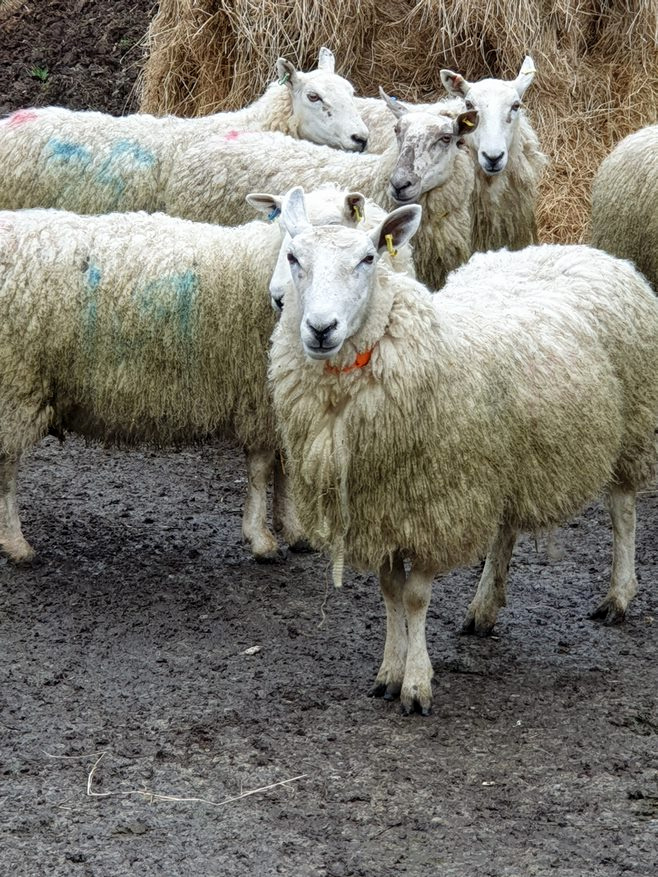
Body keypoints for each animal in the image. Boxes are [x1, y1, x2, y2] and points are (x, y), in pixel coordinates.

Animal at [0, 186, 370, 565]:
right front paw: (261, 538)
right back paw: (15, 543)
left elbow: (286, 468)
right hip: (15, 384)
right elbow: (261, 468)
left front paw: (294, 530)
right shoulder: (258, 399)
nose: (279, 296)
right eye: (282, 228)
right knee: (7, 467)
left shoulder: (285, 401)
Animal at [269, 187, 658, 715]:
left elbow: (414, 598)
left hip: (631, 425)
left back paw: (618, 596)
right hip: (507, 457)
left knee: (622, 512)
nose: (321, 328)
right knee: (505, 529)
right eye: (293, 258)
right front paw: (389, 671)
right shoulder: (382, 508)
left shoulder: (435, 505)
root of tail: (585, 250)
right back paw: (484, 607)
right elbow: (389, 592)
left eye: (368, 259)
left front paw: (416, 684)